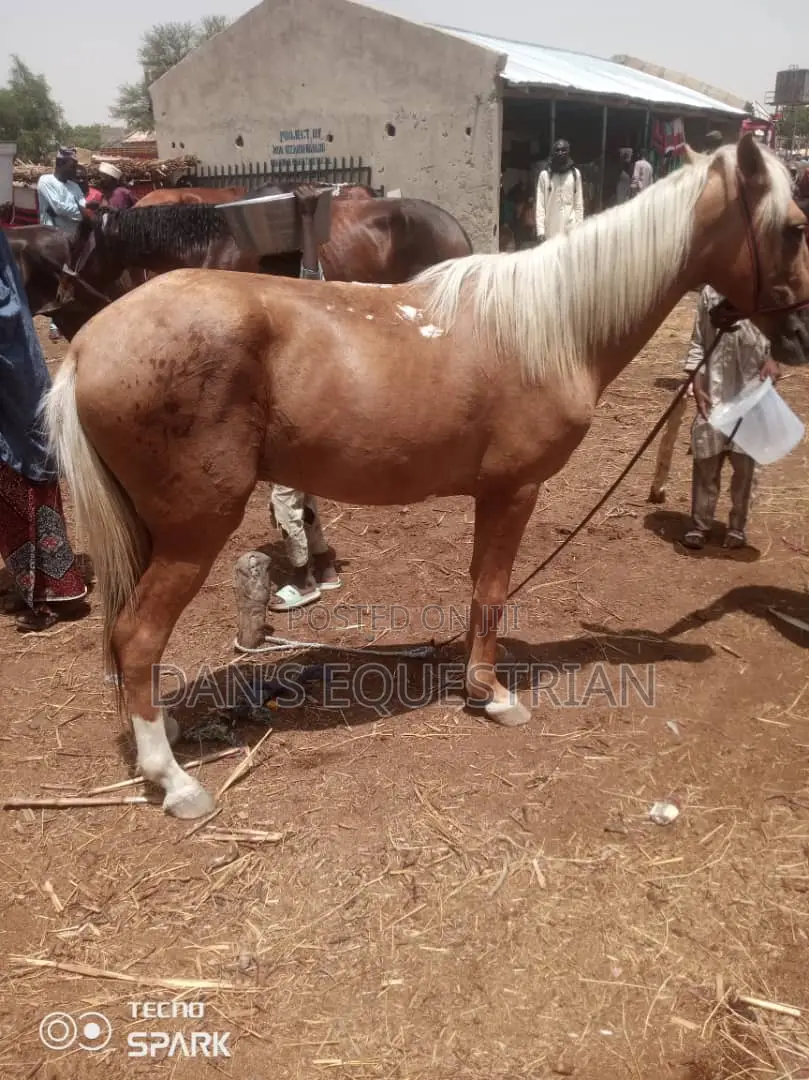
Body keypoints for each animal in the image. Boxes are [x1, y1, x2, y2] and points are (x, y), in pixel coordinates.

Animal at [45, 135, 809, 820]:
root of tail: (89, 347)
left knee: (129, 639)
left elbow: (477, 590)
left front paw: (475, 684)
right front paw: (491, 696)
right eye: (796, 226)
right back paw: (173, 782)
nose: (800, 337)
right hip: (194, 531)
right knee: (138, 636)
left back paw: (165, 730)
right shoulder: (514, 491)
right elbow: (493, 592)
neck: (553, 324)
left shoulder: (493, 496)